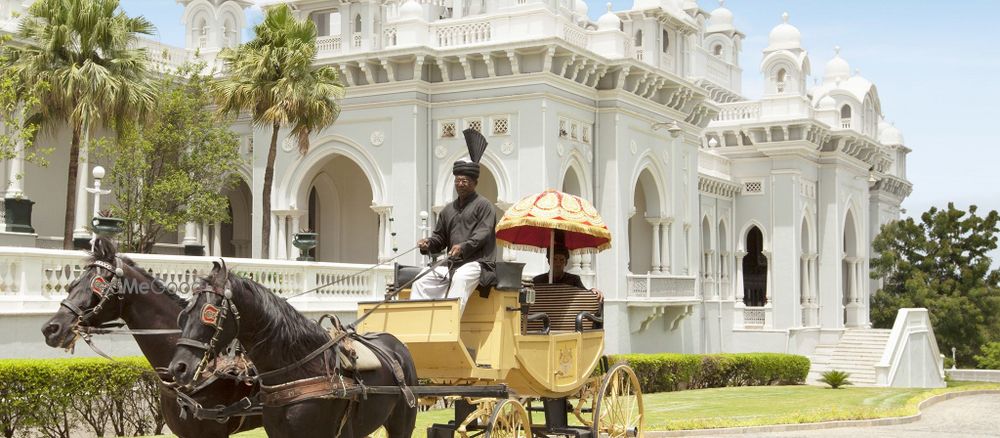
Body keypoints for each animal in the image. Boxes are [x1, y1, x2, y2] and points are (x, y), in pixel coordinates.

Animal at [171, 260, 418, 438]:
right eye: (184, 314)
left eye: (209, 314)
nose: (178, 368)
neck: (299, 369)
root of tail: (397, 346)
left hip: (402, 424)